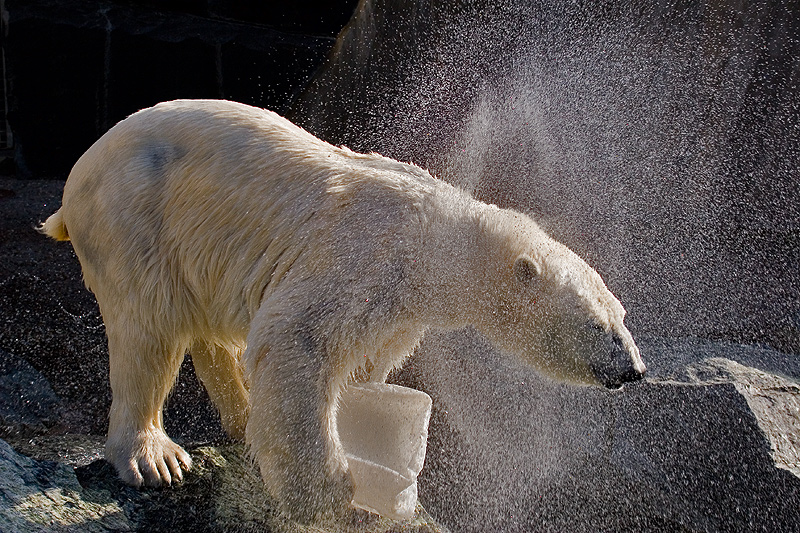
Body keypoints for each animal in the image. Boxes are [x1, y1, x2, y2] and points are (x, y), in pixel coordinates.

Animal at [40, 98, 648, 520]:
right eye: (599, 324)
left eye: (623, 317)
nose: (634, 370)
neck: (435, 238)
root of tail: (78, 176)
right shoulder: (361, 255)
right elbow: (297, 337)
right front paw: (331, 494)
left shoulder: (400, 310)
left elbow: (364, 365)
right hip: (137, 217)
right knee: (149, 329)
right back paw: (153, 457)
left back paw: (241, 416)